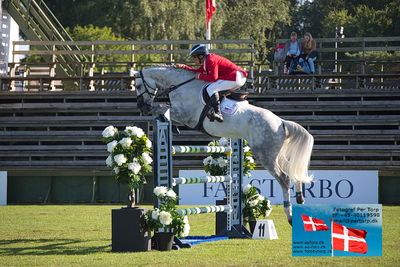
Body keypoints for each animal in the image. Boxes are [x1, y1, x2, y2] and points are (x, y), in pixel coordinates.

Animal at [133, 66, 314, 225]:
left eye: (137, 85)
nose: (141, 107)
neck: (181, 85)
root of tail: (281, 122)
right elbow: (162, 109)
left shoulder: (185, 115)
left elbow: (161, 108)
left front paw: (164, 118)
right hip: (277, 154)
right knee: (293, 170)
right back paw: (300, 198)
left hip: (266, 155)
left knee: (284, 178)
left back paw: (289, 215)